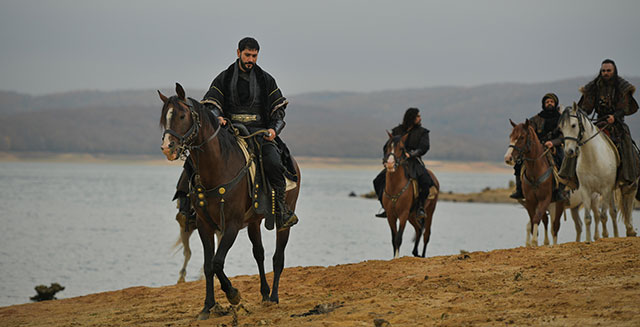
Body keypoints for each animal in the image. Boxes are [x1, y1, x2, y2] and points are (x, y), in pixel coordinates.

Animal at [159, 84, 302, 320]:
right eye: (164, 118)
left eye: (181, 115)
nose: (168, 148)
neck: (218, 167)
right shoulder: (204, 225)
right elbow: (209, 265)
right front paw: (207, 306)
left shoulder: (232, 225)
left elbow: (217, 262)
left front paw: (234, 295)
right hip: (253, 222)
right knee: (259, 254)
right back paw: (264, 293)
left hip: (284, 222)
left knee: (277, 257)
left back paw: (273, 297)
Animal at [556, 105, 632, 238]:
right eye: (561, 128)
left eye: (574, 125)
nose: (569, 151)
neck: (593, 158)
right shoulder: (585, 190)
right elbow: (588, 218)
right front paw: (588, 240)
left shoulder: (606, 189)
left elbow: (603, 216)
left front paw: (605, 236)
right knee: (611, 212)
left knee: (617, 209)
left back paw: (622, 233)